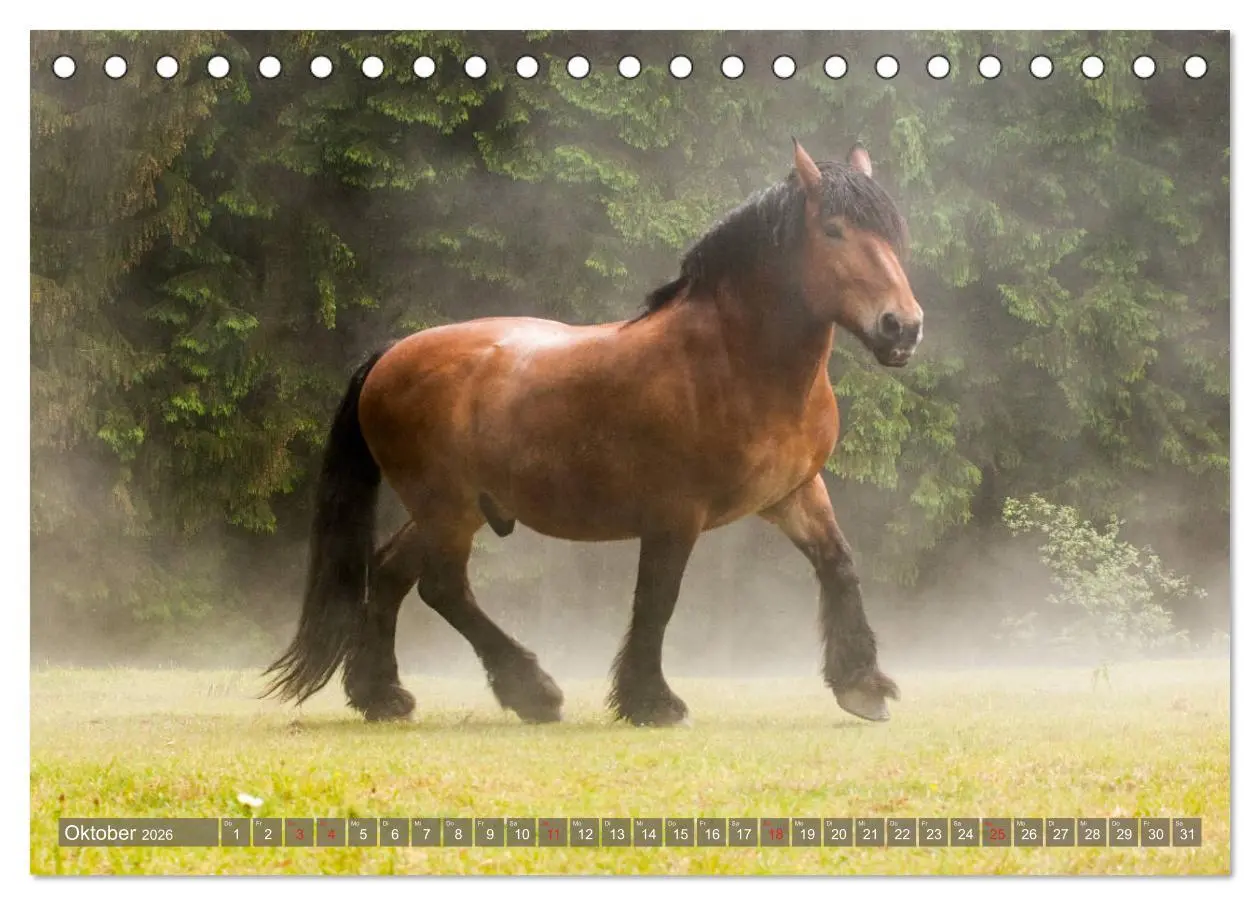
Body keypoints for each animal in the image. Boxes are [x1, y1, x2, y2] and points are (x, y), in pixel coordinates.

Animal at [263, 141, 923, 727]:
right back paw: (531, 691)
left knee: (392, 573)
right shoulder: (675, 512)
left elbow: (839, 564)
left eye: (894, 234)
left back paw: (382, 695)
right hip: (446, 508)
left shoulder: (793, 493)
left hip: (454, 509)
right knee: (443, 587)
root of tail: (393, 352)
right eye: (833, 230)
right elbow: (657, 599)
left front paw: (862, 684)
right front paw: (651, 701)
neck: (734, 360)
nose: (903, 326)